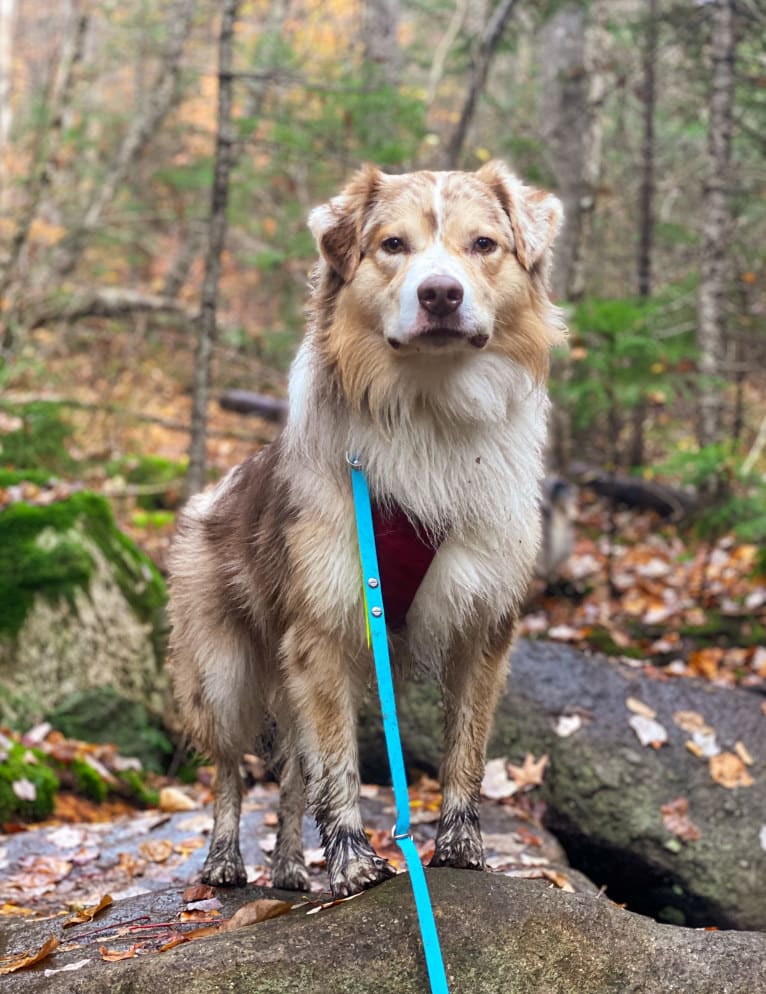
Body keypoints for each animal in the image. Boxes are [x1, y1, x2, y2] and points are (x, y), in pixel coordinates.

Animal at [170, 161, 564, 892]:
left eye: (484, 245)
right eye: (392, 245)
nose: (440, 294)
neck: (432, 416)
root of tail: (206, 496)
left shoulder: (483, 627)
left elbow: (465, 747)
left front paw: (460, 845)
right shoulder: (323, 628)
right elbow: (338, 765)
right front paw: (353, 861)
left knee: (292, 776)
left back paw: (290, 869)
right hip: (223, 673)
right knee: (233, 770)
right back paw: (225, 860)